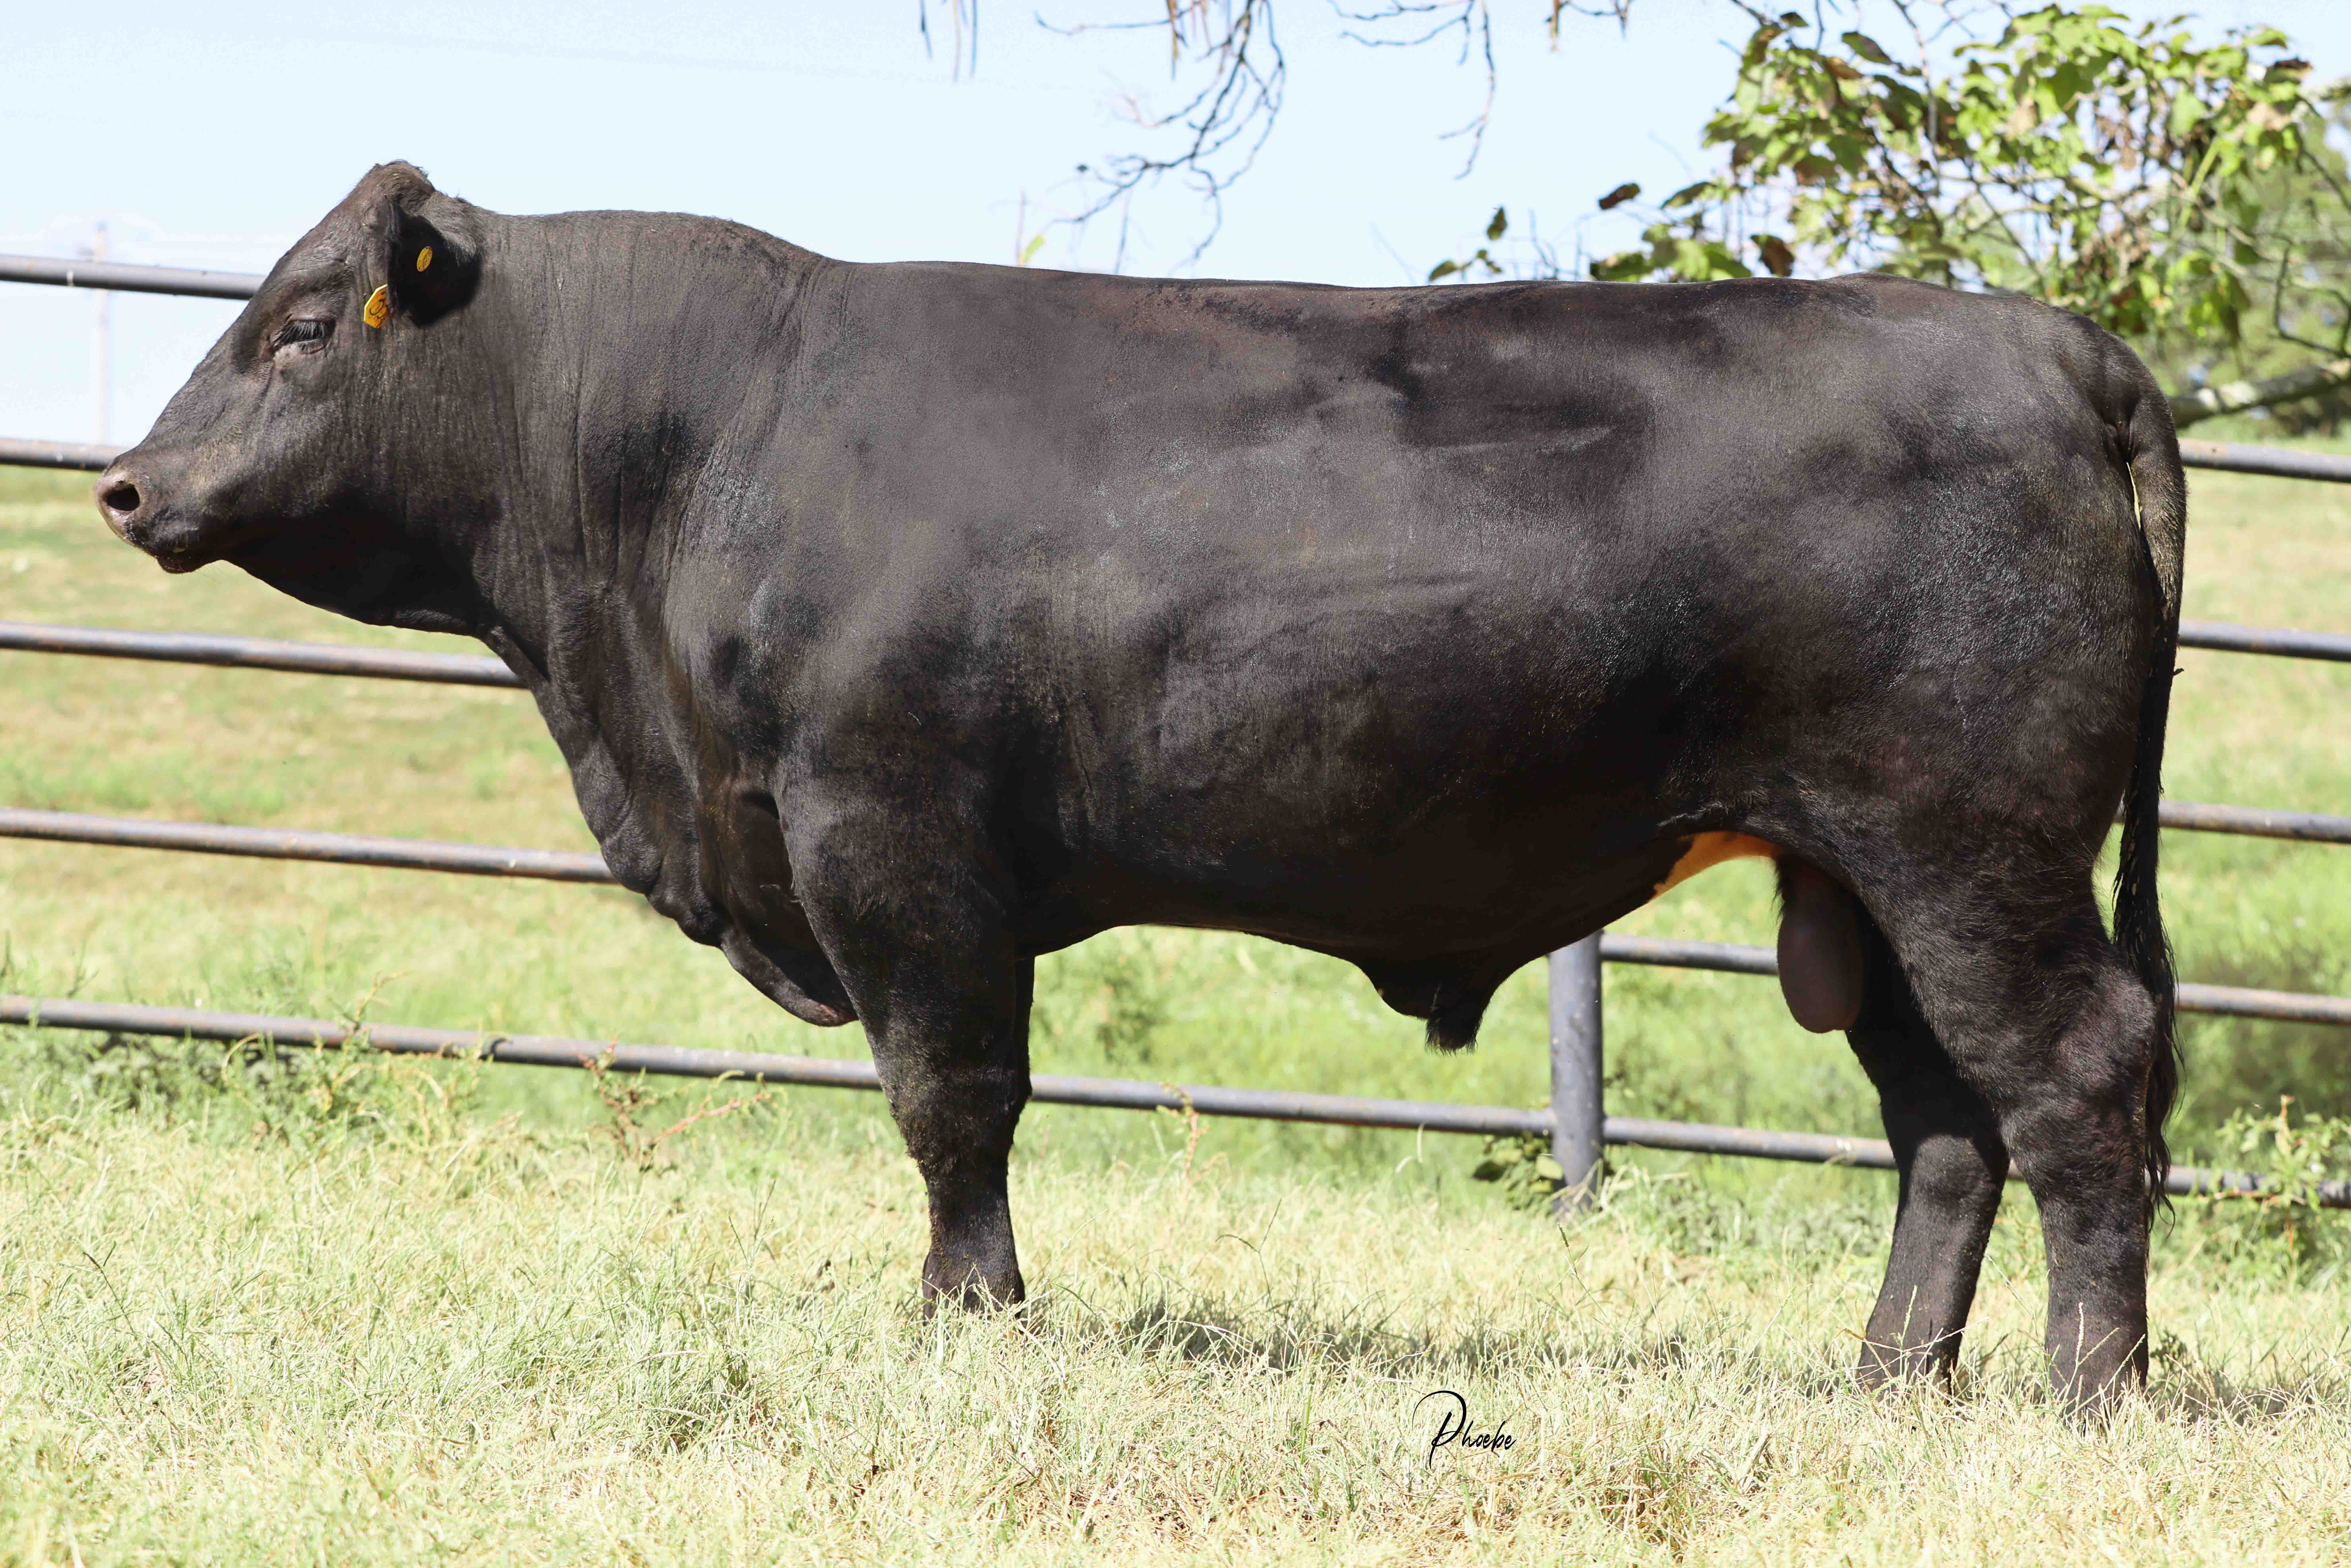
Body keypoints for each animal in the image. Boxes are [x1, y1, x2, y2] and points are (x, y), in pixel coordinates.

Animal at [96, 163, 2184, 1408]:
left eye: (299, 327)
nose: (124, 483)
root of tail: (2046, 343)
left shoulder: (890, 846)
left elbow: (951, 1101)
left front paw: (966, 1314)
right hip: (1853, 877)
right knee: (1944, 1121)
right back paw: (1891, 1374)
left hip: (1963, 848)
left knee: (2070, 1078)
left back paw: (2084, 1384)